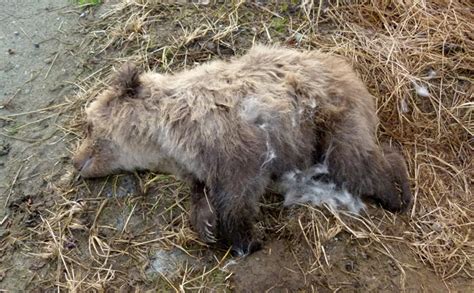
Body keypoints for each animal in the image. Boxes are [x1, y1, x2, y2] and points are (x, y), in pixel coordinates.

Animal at [72, 44, 412, 254]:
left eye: (88, 125)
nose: (75, 161)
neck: (164, 135)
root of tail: (347, 69)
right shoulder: (197, 162)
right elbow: (201, 191)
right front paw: (206, 225)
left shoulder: (236, 146)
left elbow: (238, 195)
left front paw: (245, 239)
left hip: (327, 119)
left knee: (353, 162)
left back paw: (397, 194)